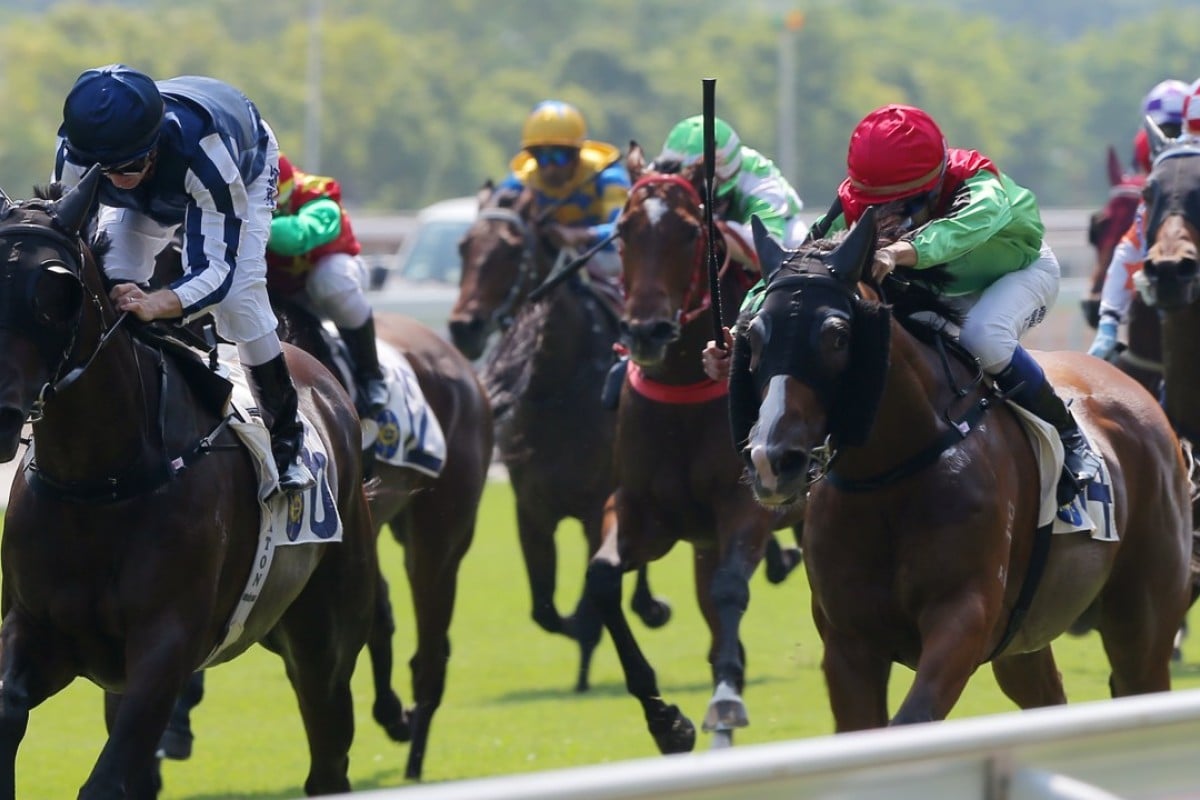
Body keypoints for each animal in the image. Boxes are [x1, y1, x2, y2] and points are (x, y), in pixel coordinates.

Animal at [0, 172, 379, 796]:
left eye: (56, 293)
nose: (3, 410)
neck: (102, 481)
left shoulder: (165, 650)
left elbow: (107, 779)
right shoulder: (42, 631)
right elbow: (10, 707)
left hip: (325, 636)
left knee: (329, 754)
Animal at [451, 179, 676, 690]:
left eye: (512, 250)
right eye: (464, 246)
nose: (463, 327)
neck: (558, 386)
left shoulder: (596, 508)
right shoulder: (531, 509)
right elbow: (545, 610)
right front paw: (579, 630)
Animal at [576, 146, 801, 753]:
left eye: (688, 231)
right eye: (623, 229)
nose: (646, 331)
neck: (682, 389)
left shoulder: (745, 508)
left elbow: (730, 590)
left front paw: (722, 703)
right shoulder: (643, 512)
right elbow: (602, 579)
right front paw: (666, 720)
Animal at [724, 208, 1195, 734]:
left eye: (837, 334)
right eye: (754, 333)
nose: (772, 458)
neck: (890, 475)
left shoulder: (963, 617)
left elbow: (914, 717)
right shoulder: (848, 643)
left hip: (1142, 621)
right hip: (1023, 641)